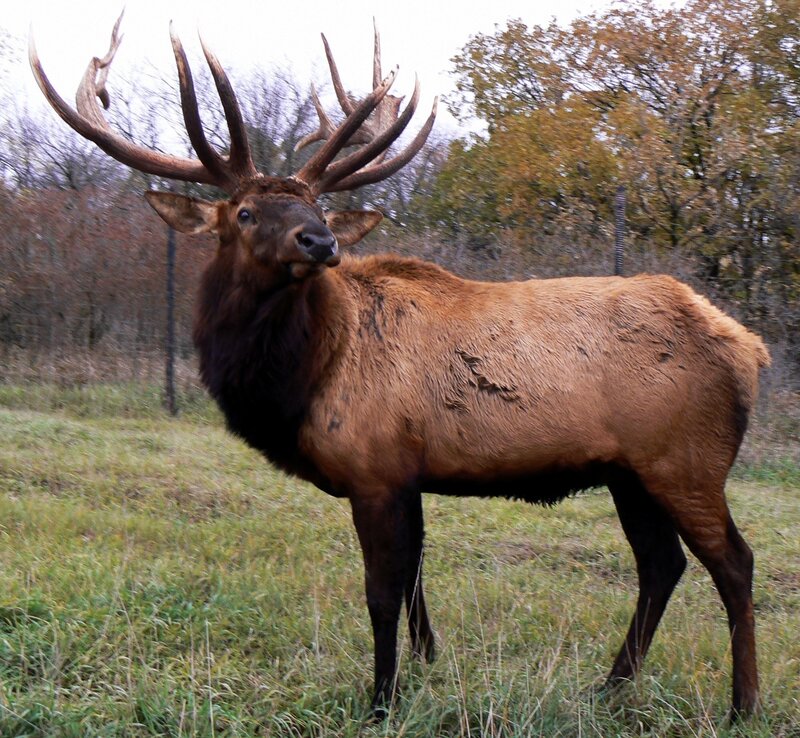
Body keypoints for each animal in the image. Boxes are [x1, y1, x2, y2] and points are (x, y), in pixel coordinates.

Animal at [30, 15, 770, 721]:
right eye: (243, 211)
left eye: (316, 206)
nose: (320, 241)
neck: (304, 378)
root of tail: (750, 349)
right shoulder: (408, 473)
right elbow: (417, 580)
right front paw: (428, 663)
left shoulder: (376, 467)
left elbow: (383, 593)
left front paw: (381, 698)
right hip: (630, 473)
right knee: (661, 565)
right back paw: (609, 687)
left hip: (684, 460)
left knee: (734, 563)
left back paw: (742, 704)